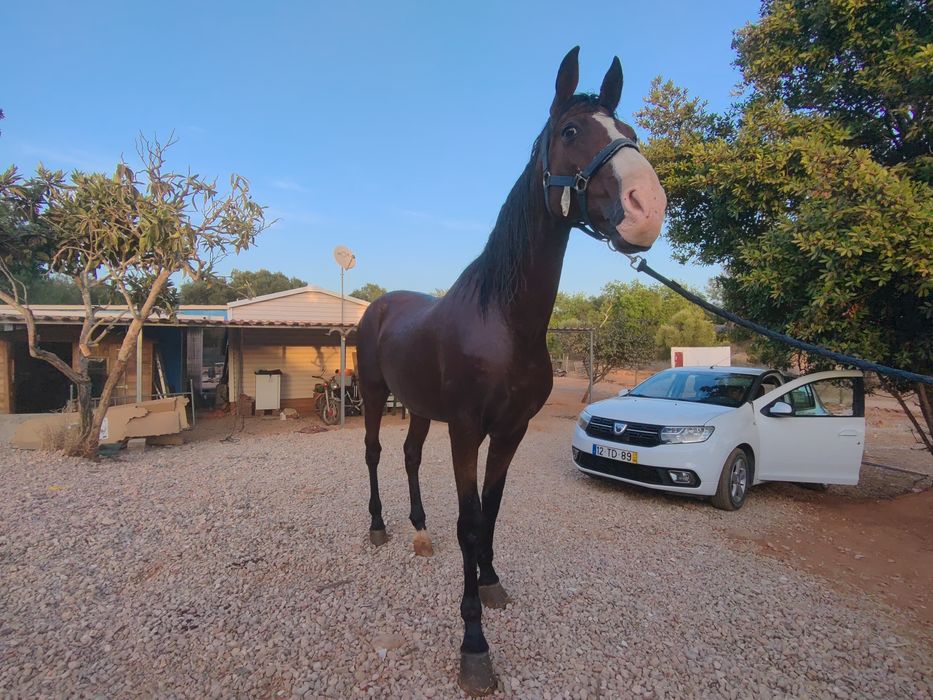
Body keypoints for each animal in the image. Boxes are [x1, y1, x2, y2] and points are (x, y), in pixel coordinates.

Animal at [356, 47, 666, 695]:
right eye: (570, 131)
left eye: (629, 130)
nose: (647, 208)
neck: (502, 320)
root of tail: (380, 305)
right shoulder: (466, 430)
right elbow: (471, 523)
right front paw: (474, 647)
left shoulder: (510, 430)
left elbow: (492, 512)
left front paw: (491, 581)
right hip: (374, 396)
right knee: (374, 454)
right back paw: (378, 527)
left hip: (419, 408)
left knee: (409, 456)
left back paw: (419, 530)